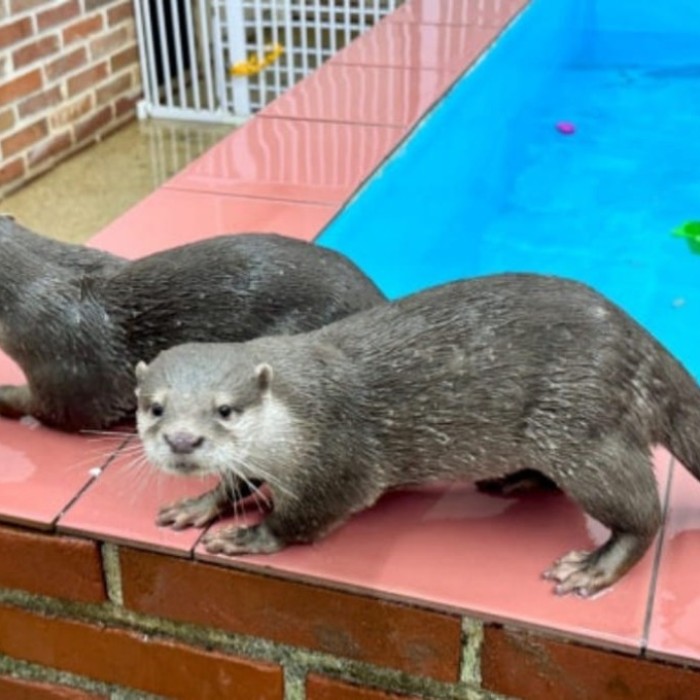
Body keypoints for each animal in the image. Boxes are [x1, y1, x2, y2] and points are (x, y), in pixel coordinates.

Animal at [135, 273, 700, 597]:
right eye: (156, 407)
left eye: (225, 410)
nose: (182, 441)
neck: (297, 414)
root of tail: (641, 342)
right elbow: (238, 480)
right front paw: (201, 504)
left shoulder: (340, 461)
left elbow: (306, 515)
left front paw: (251, 534)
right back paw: (511, 481)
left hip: (583, 427)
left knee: (643, 511)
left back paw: (594, 566)